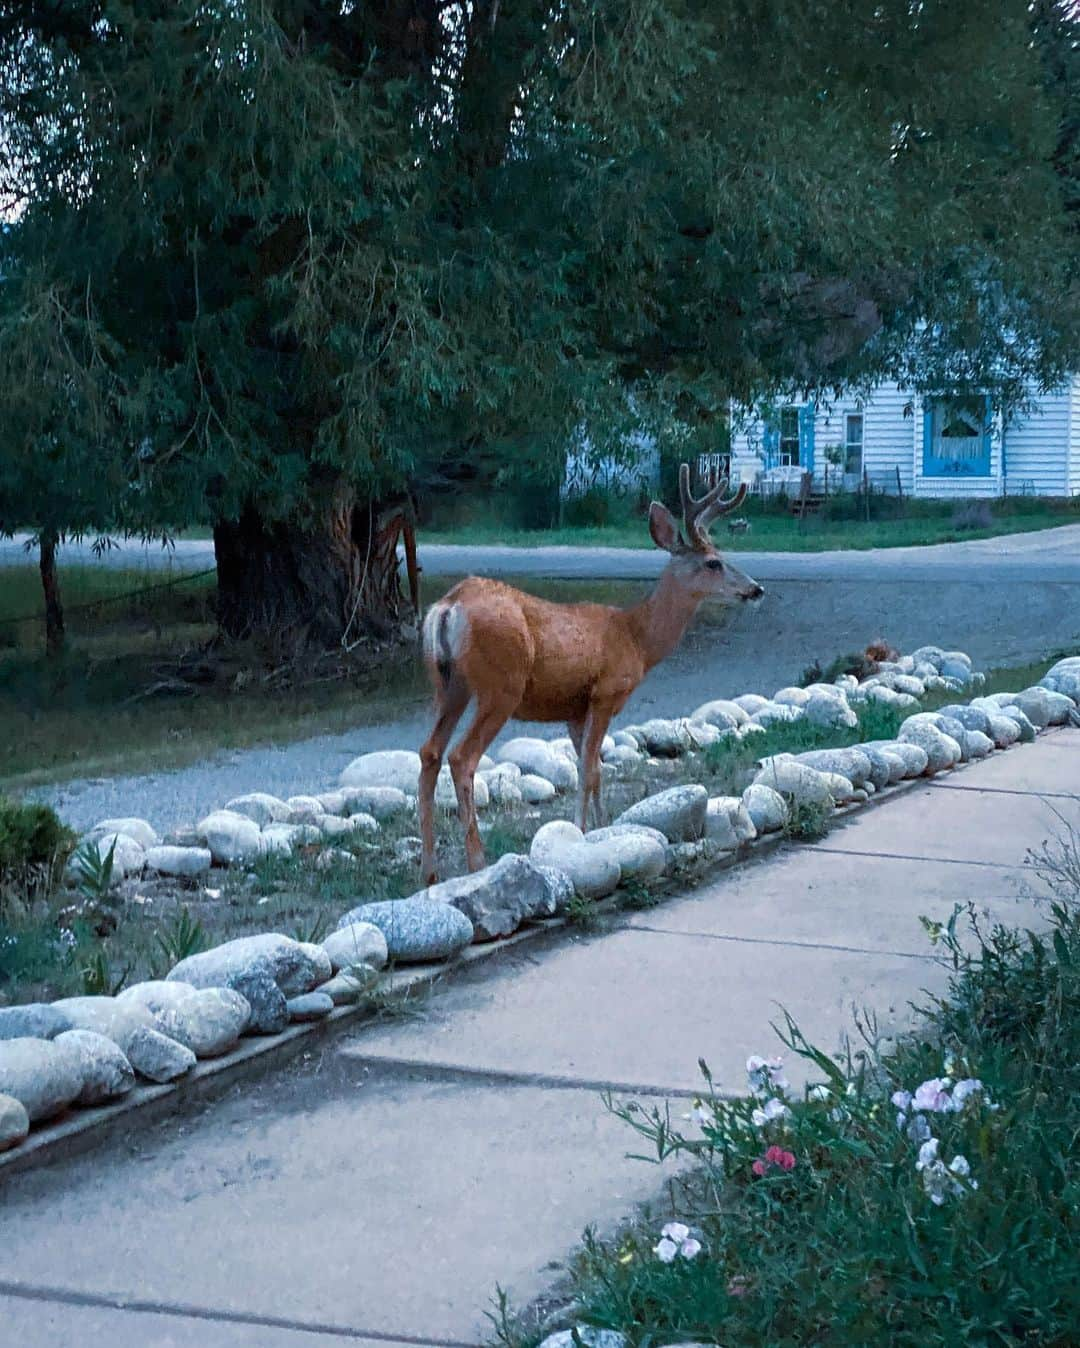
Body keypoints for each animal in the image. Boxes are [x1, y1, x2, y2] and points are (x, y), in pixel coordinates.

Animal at [417, 463, 760, 884]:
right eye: (714, 562)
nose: (756, 589)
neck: (637, 639)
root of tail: (448, 606)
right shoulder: (605, 693)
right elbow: (588, 768)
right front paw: (584, 832)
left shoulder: (575, 709)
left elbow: (593, 768)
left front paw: (599, 828)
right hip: (501, 686)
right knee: (462, 757)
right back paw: (476, 863)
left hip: (449, 684)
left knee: (430, 752)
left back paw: (430, 872)